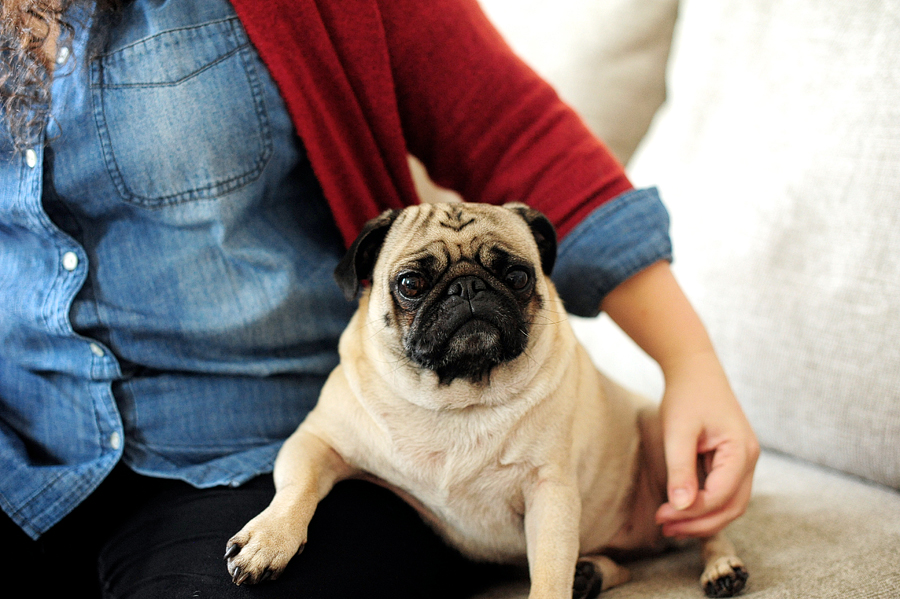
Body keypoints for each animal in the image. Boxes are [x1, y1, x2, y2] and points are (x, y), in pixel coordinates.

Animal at [223, 204, 744, 596]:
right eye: (410, 284)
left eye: (516, 275)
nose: (467, 285)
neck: (458, 397)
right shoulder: (315, 441)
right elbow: (296, 488)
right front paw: (270, 539)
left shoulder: (550, 492)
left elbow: (549, 577)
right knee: (624, 565)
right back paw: (592, 573)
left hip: (670, 449)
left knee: (709, 527)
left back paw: (722, 568)